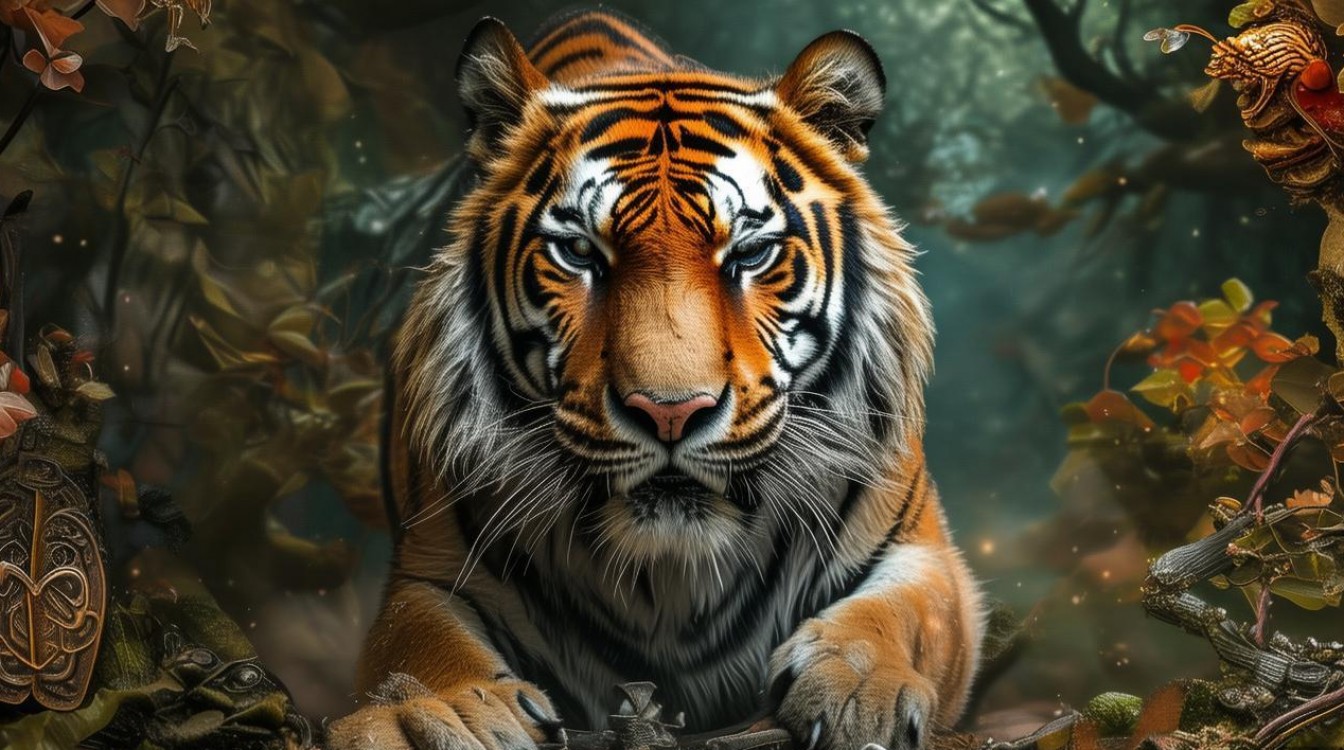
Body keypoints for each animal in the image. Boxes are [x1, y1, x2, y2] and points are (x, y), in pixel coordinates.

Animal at [326, 9, 983, 750]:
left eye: (751, 253)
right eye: (578, 251)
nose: (670, 413)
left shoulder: (921, 553)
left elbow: (901, 613)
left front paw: (859, 690)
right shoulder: (430, 573)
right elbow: (418, 645)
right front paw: (434, 711)